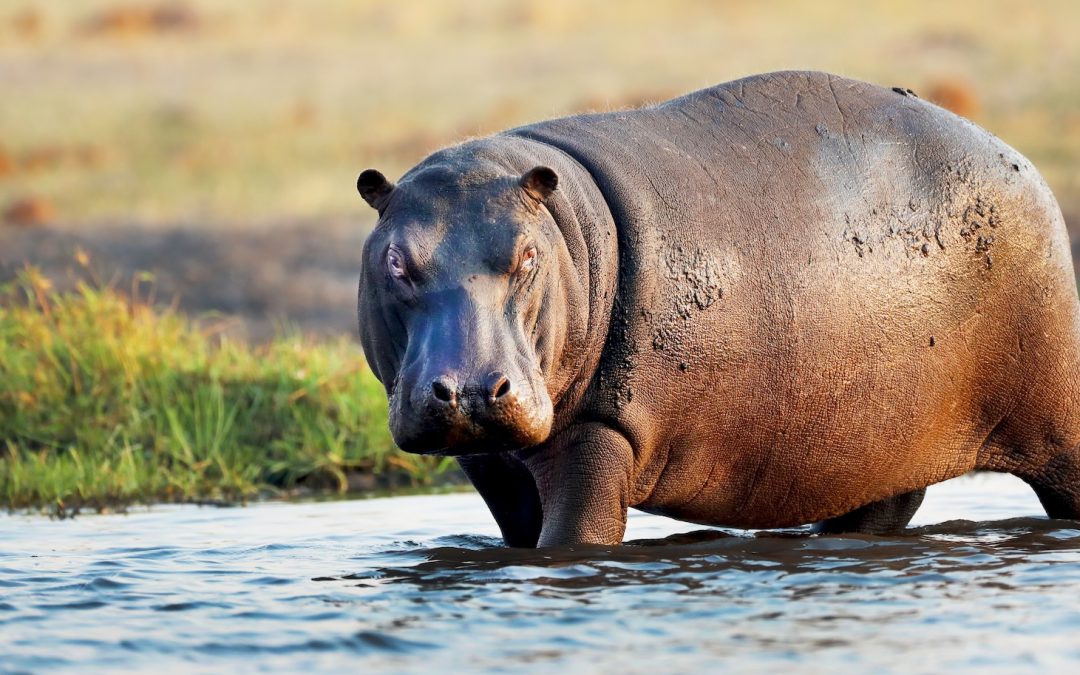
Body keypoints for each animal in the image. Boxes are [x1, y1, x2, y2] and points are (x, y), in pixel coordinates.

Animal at [355, 71, 1080, 547]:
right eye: (396, 261)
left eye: (528, 255)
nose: (472, 389)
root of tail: (1021, 161)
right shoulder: (486, 461)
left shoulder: (599, 432)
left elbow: (574, 540)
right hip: (879, 438)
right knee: (881, 505)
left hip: (1055, 412)